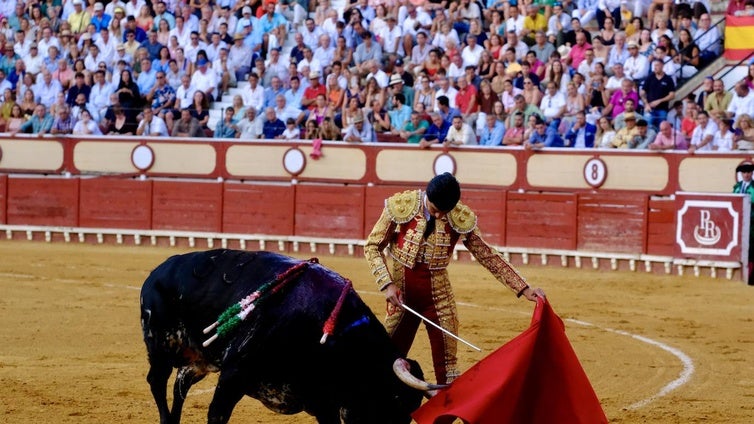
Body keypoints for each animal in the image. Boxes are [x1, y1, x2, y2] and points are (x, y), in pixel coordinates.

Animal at [140, 250, 440, 422]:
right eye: (394, 400)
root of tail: (158, 270)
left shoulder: (323, 399)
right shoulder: (234, 373)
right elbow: (217, 414)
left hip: (200, 358)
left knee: (181, 383)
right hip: (161, 345)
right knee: (157, 381)